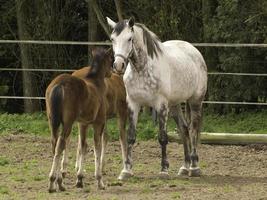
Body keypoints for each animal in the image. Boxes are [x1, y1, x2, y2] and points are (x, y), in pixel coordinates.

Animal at [108, 17, 208, 180]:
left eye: (129, 39)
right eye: (112, 39)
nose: (118, 65)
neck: (142, 69)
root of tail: (194, 51)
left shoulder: (161, 105)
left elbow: (162, 137)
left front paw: (164, 170)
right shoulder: (133, 104)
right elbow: (130, 136)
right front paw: (126, 170)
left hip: (195, 101)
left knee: (193, 130)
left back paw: (194, 167)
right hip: (174, 105)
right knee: (184, 129)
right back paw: (184, 167)